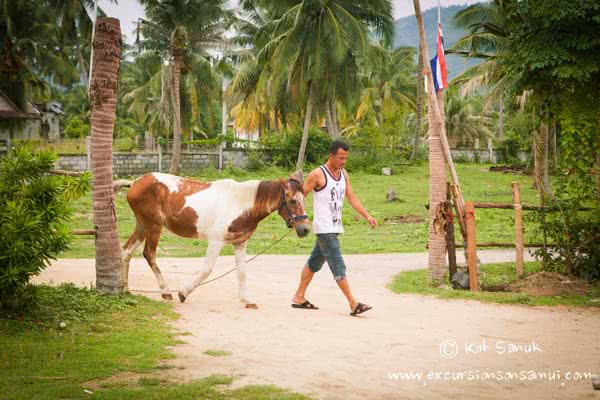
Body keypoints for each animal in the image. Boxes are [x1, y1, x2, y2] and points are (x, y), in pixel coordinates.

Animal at [122, 170, 310, 304]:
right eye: (293, 201)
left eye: (304, 199)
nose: (305, 229)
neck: (240, 204)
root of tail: (135, 183)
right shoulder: (216, 242)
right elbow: (207, 269)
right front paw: (183, 293)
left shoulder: (240, 243)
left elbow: (242, 272)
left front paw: (246, 300)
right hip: (153, 226)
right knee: (149, 254)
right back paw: (166, 291)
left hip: (142, 226)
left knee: (126, 251)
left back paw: (125, 289)